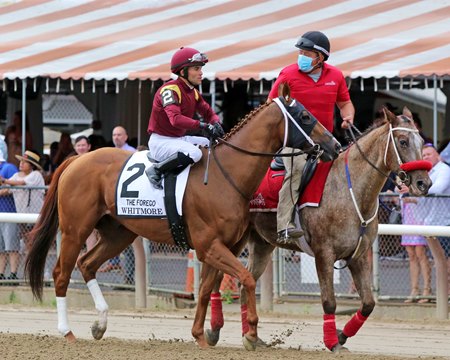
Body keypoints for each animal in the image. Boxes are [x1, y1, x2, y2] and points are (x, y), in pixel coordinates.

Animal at [24, 83, 342, 348]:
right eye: (305, 116)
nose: (335, 145)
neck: (226, 175)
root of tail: (76, 159)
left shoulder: (222, 247)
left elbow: (204, 290)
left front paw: (201, 336)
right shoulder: (209, 246)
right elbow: (246, 280)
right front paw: (251, 333)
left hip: (119, 232)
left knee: (87, 264)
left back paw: (100, 323)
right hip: (75, 229)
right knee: (61, 273)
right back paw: (66, 331)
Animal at [207, 107, 432, 352]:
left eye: (422, 141)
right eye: (402, 141)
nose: (424, 183)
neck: (349, 189)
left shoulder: (359, 255)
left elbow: (368, 304)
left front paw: (342, 336)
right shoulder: (324, 253)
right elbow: (329, 302)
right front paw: (332, 342)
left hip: (262, 243)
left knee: (243, 282)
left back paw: (251, 336)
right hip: (233, 239)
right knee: (217, 277)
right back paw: (215, 329)